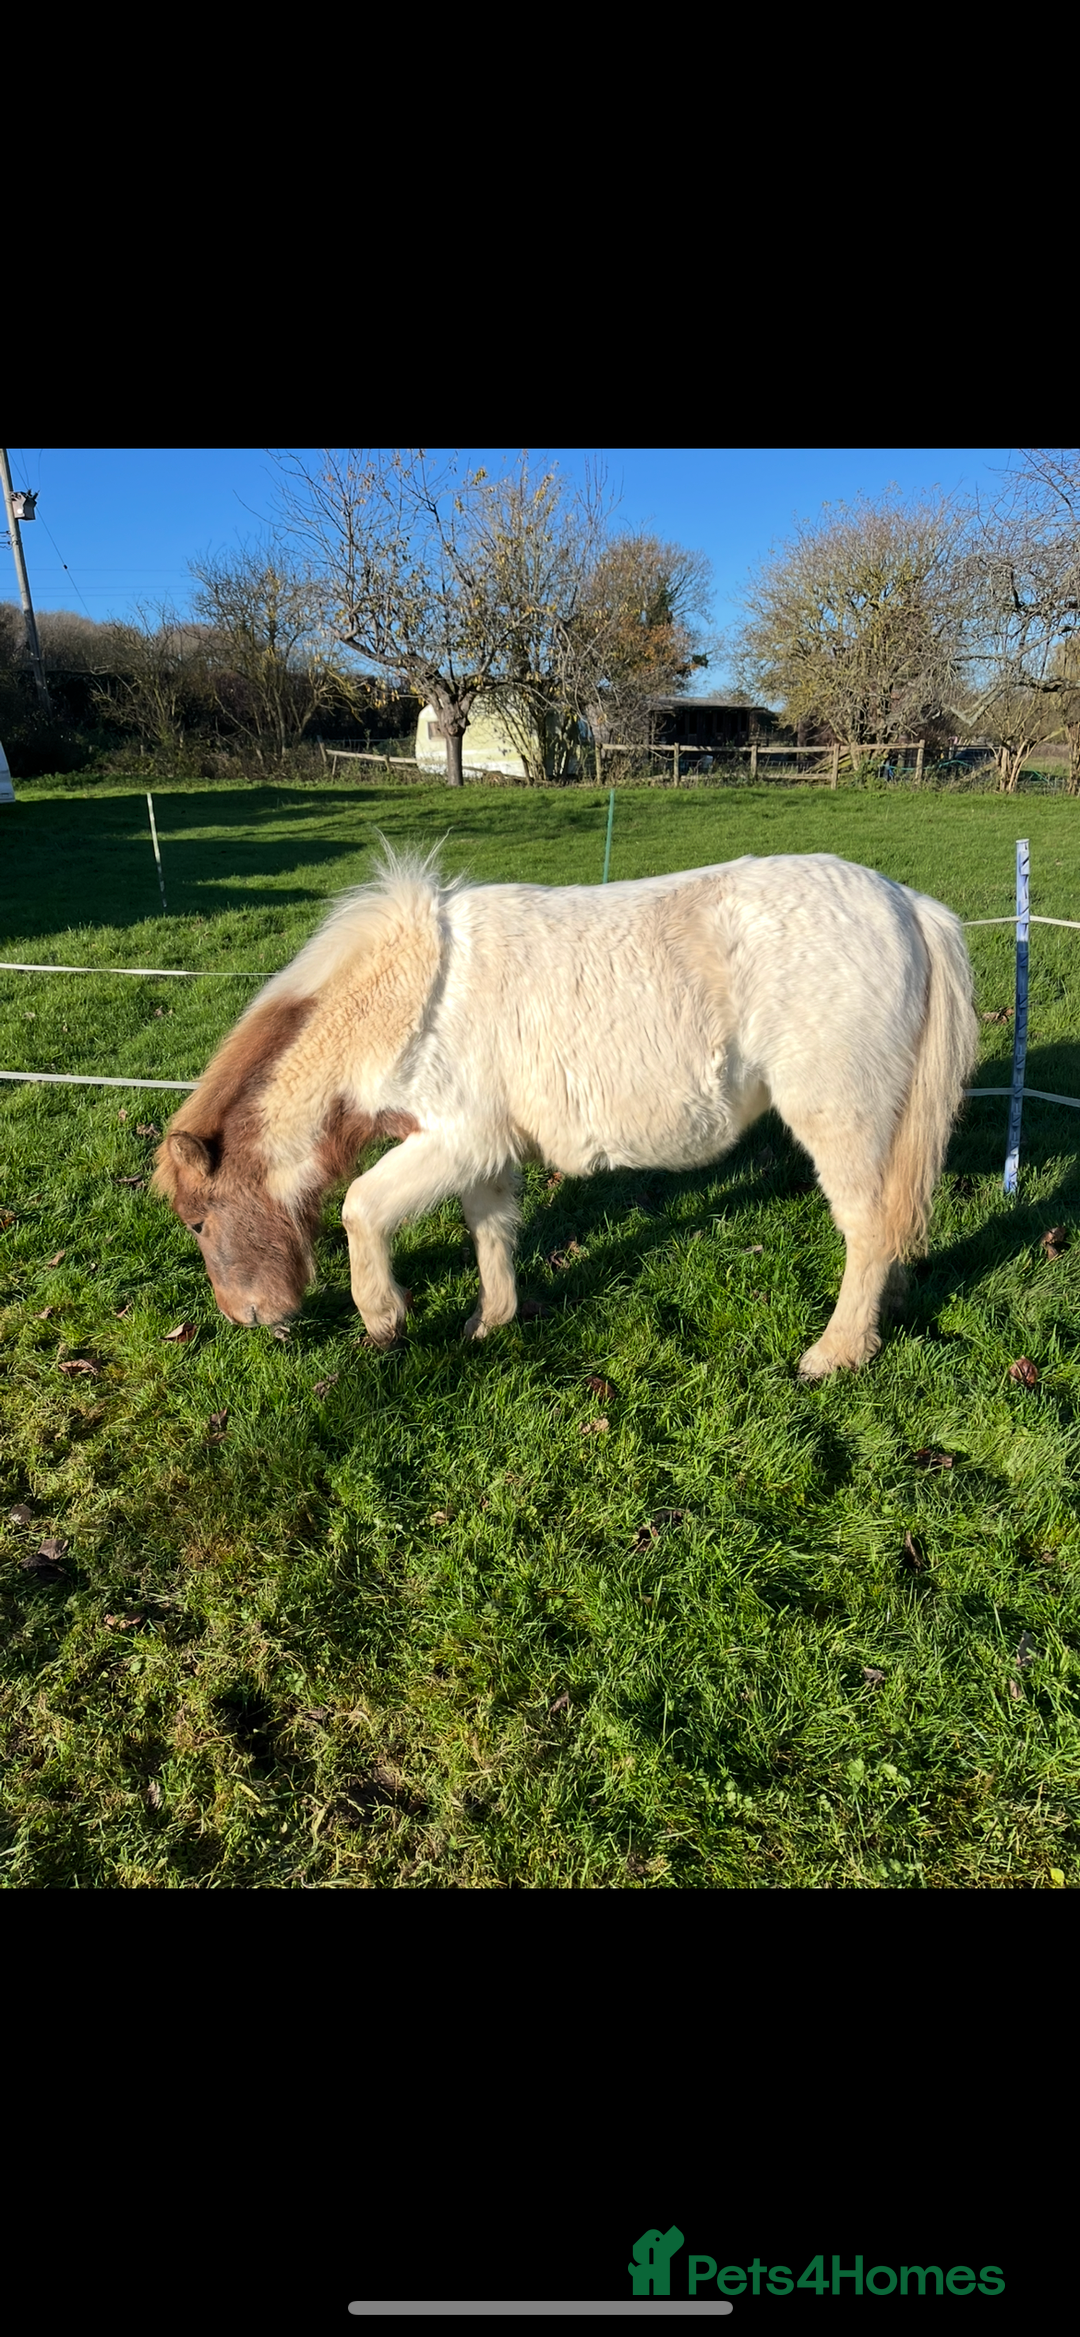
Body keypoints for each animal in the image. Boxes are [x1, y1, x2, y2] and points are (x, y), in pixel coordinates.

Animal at [152, 846, 978, 1380]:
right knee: (892, 1224)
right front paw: (490, 1321)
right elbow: (490, 1231)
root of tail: (907, 904)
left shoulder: (455, 1141)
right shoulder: (483, 1153)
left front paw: (384, 1318)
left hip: (839, 1119)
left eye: (197, 1222)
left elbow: (362, 1207)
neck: (408, 996)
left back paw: (836, 1353)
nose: (245, 1318)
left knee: (866, 1227)